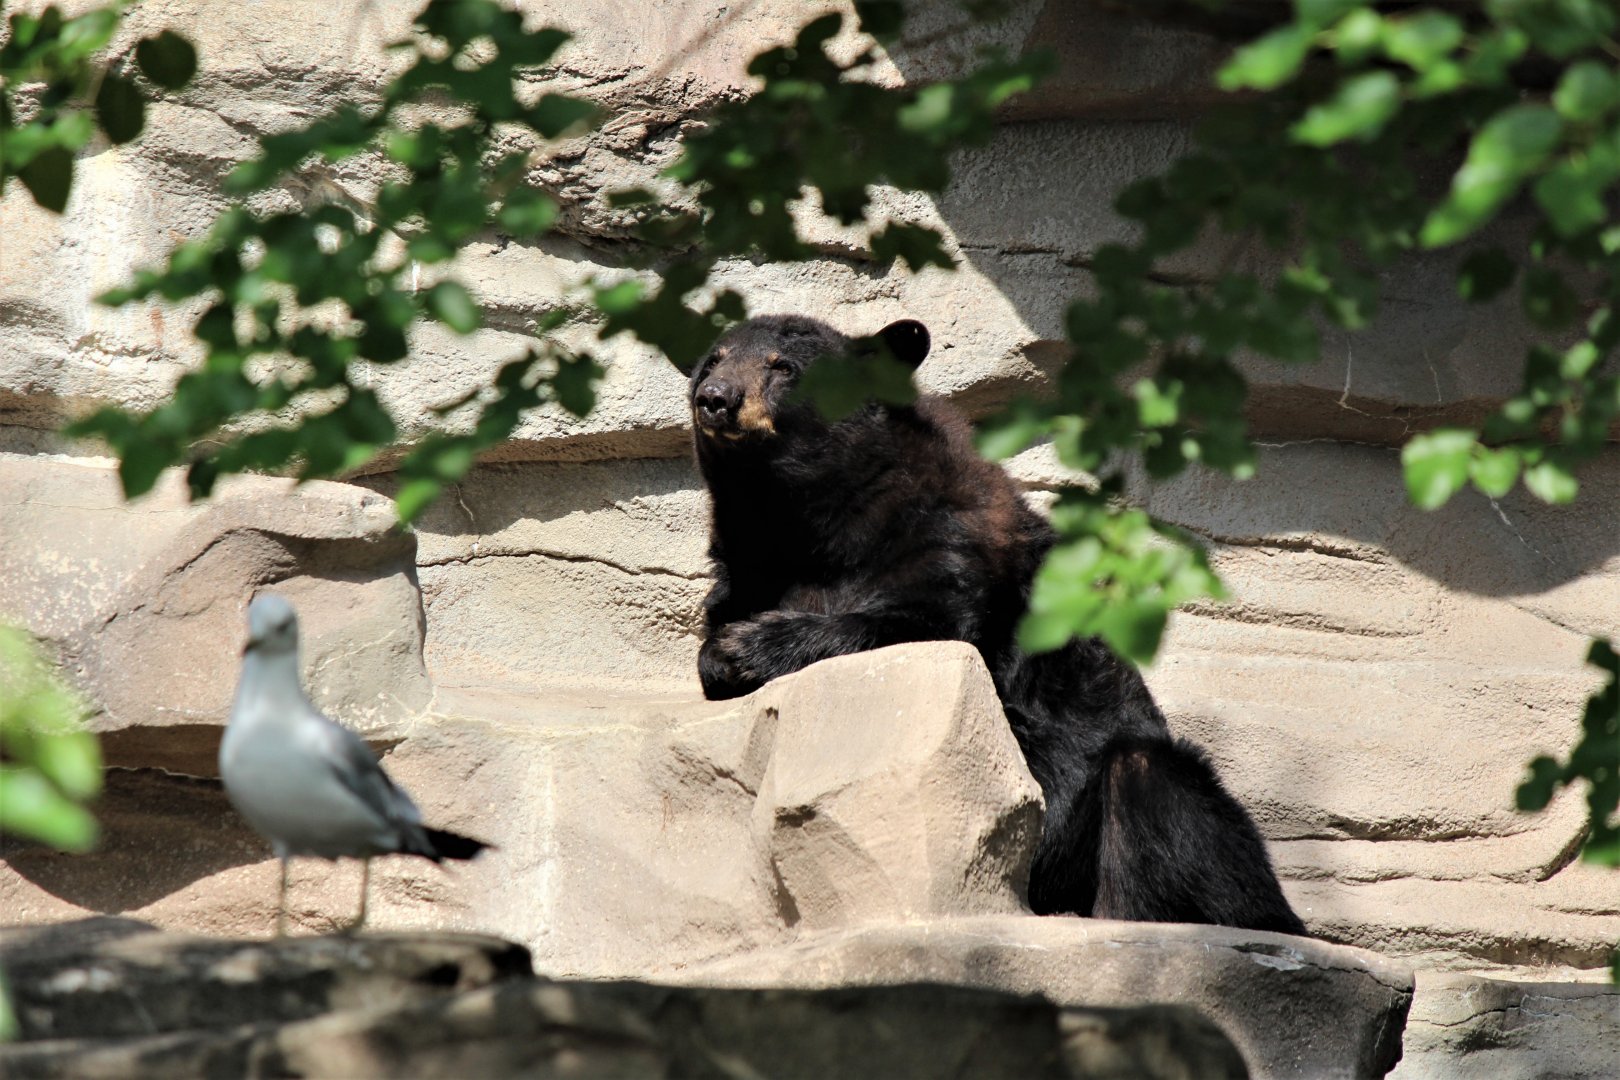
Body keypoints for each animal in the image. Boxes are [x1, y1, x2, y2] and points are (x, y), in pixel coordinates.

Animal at [689, 313, 1305, 935]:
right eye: (712, 359)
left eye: (783, 367)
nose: (715, 397)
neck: (805, 520)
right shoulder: (748, 566)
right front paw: (722, 651)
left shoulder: (953, 541)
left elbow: (928, 623)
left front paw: (751, 645)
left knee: (1155, 788)